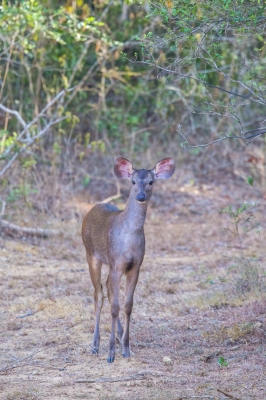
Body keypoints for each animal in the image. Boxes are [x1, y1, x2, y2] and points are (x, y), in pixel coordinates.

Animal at [82, 156, 176, 362]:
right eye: (133, 181)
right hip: (91, 254)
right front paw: (110, 353)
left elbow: (127, 305)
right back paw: (95, 345)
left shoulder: (135, 266)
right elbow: (115, 307)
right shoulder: (116, 263)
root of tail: (92, 209)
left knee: (107, 289)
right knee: (98, 295)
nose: (140, 196)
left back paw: (117, 336)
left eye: (151, 182)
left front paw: (126, 348)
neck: (129, 239)